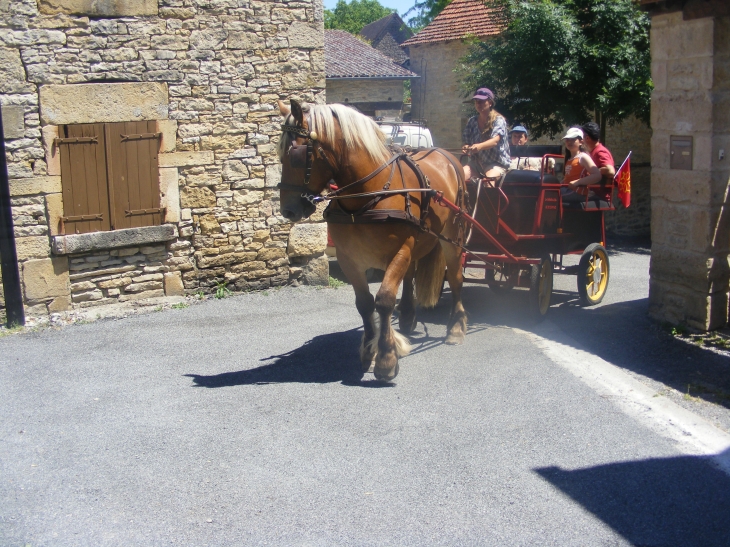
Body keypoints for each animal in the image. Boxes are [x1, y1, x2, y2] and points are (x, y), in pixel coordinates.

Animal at [276, 99, 464, 382]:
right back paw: (407, 316)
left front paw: (386, 357)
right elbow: (364, 304)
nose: (287, 210)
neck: (369, 194)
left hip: (451, 237)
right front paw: (368, 349)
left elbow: (384, 300)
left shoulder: (399, 250)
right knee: (410, 274)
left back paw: (456, 327)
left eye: (295, 155)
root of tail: (447, 155)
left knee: (455, 276)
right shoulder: (349, 258)